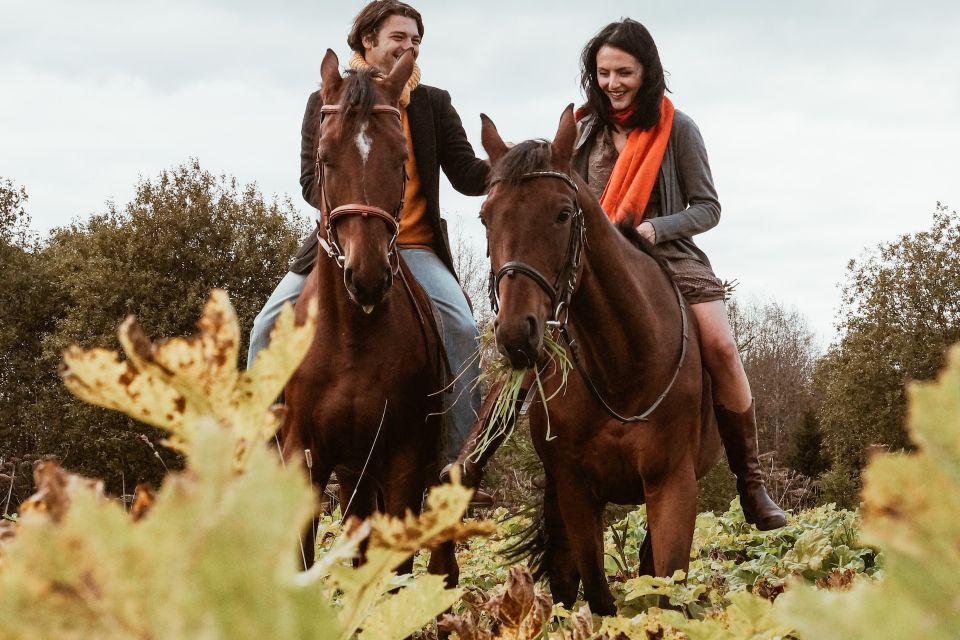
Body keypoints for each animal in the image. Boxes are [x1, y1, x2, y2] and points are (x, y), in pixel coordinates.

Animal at [282, 48, 458, 580]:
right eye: (323, 157)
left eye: (401, 158)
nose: (367, 275)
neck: (351, 339)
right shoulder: (304, 460)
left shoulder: (403, 464)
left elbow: (395, 575)